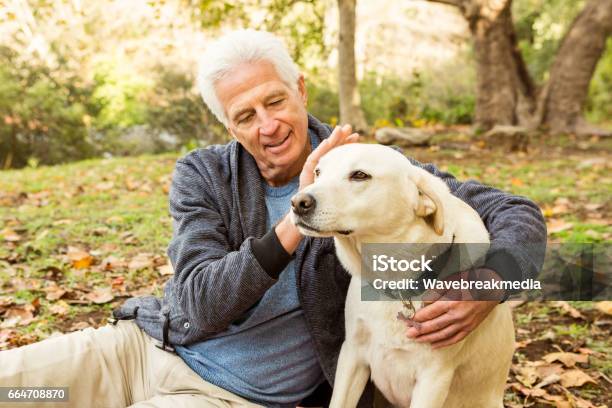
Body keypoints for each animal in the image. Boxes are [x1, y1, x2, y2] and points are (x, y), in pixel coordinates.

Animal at [290, 145, 512, 408]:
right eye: (318, 172)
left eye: (360, 175)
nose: (298, 203)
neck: (395, 282)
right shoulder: (352, 354)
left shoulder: (433, 378)